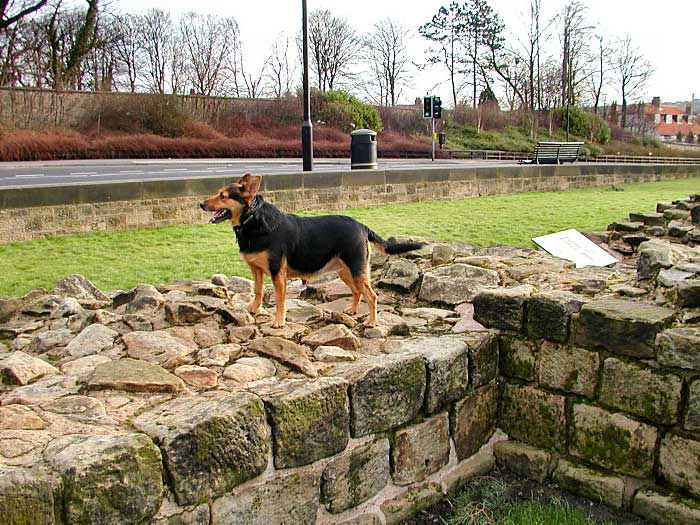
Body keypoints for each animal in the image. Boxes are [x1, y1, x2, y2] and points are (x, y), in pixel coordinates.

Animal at [200, 174, 424, 326]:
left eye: (223, 195)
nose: (201, 204)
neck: (253, 219)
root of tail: (361, 225)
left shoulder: (277, 272)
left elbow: (279, 299)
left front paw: (279, 322)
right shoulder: (256, 270)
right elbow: (257, 291)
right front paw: (253, 309)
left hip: (356, 269)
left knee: (372, 296)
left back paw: (372, 322)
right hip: (345, 271)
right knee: (357, 292)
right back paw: (352, 311)